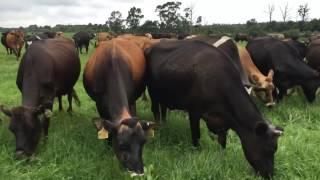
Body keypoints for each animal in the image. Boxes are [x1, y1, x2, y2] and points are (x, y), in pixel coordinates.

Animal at [84, 37, 155, 175]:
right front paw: (107, 147)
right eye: (122, 145)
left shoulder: (131, 100)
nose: (139, 171)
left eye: (143, 143)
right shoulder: (99, 104)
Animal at [145, 40, 282, 178]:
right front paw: (196, 153)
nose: (270, 174)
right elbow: (196, 136)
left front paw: (223, 157)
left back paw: (165, 125)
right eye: (270, 149)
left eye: (275, 148)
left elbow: (222, 142)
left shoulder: (223, 122)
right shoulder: (194, 112)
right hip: (153, 93)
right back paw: (159, 129)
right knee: (155, 110)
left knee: (163, 109)